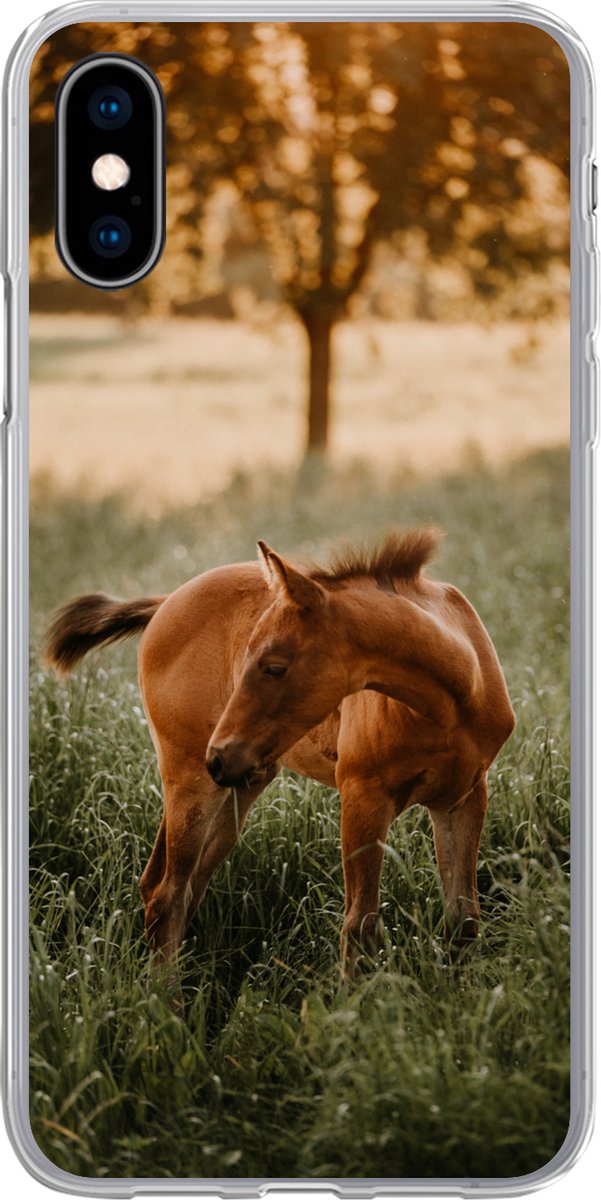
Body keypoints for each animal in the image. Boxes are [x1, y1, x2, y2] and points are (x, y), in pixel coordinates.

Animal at [44, 528, 515, 981]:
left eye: (274, 667)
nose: (218, 755)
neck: (452, 701)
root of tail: (166, 602)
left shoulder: (463, 798)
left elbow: (463, 920)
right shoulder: (363, 798)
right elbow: (360, 927)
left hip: (240, 786)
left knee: (177, 886)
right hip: (192, 783)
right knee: (167, 894)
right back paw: (165, 1004)